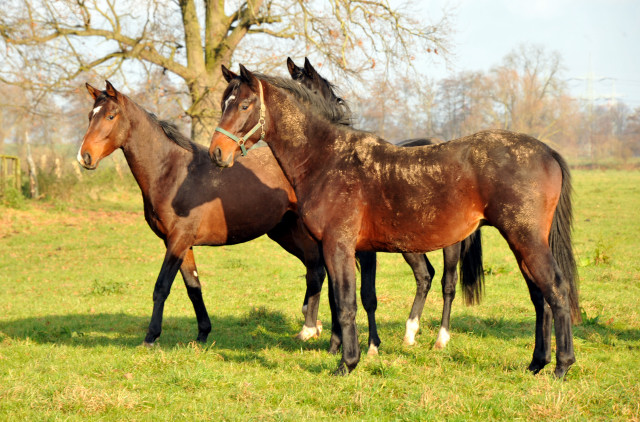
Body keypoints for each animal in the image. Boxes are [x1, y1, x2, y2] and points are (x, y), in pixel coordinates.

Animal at [209, 64, 580, 378]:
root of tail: (547, 151)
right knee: (539, 297)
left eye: (244, 105)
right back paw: (536, 363)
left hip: (523, 239)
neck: (328, 159)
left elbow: (347, 304)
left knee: (554, 290)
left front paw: (348, 363)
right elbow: (343, 301)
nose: (217, 153)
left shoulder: (339, 247)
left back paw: (561, 366)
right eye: (224, 103)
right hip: (520, 242)